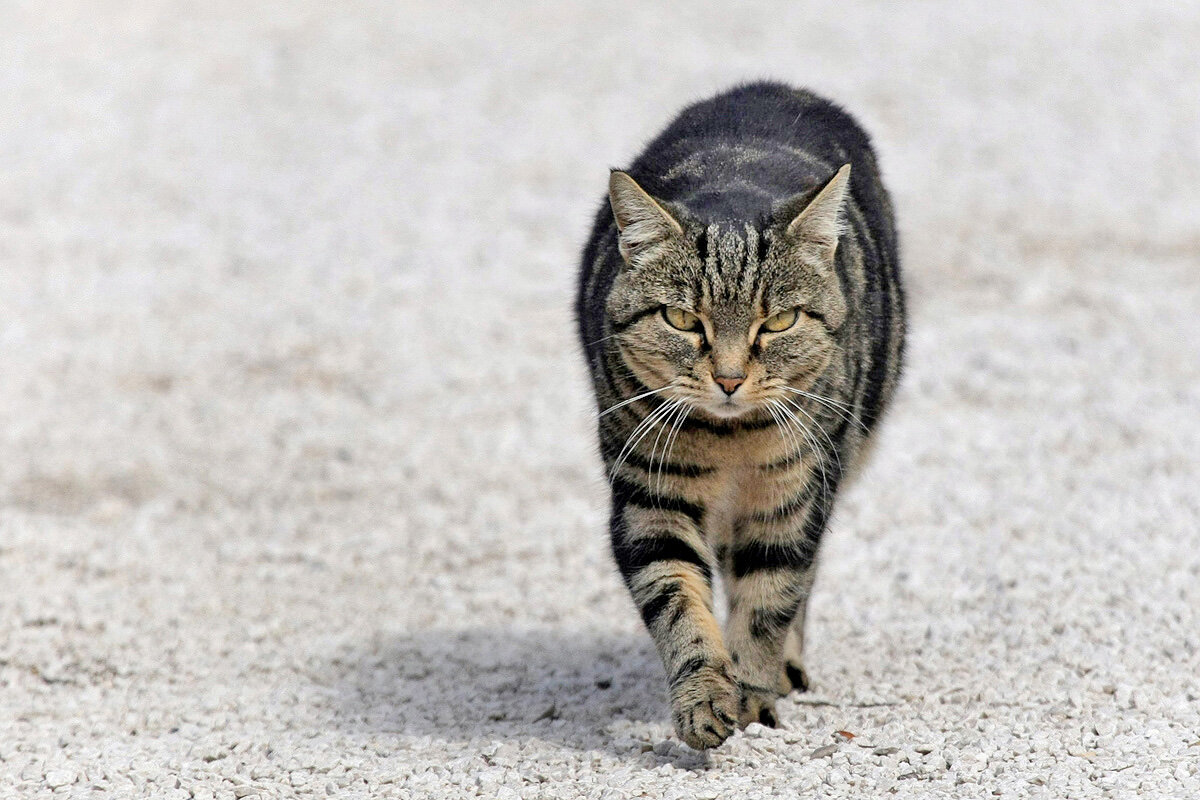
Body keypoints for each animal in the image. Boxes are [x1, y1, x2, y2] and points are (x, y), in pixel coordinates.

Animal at [576, 82, 902, 753]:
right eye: (682, 320)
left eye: (778, 322)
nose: (728, 379)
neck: (731, 442)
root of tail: (773, 85)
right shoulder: (649, 500)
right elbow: (679, 603)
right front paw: (705, 698)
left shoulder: (794, 497)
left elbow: (769, 599)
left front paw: (752, 694)